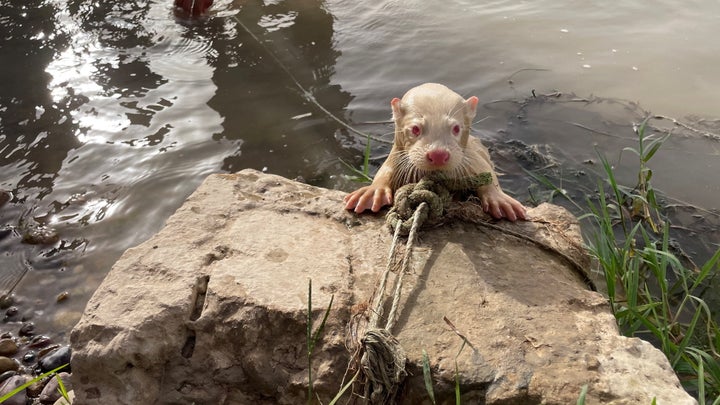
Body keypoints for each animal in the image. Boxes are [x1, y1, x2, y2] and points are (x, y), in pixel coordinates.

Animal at [346, 82, 524, 221]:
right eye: (415, 129)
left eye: (456, 128)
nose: (438, 154)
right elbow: (385, 171)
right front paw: (372, 192)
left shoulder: (474, 158)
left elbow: (485, 170)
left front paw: (499, 200)